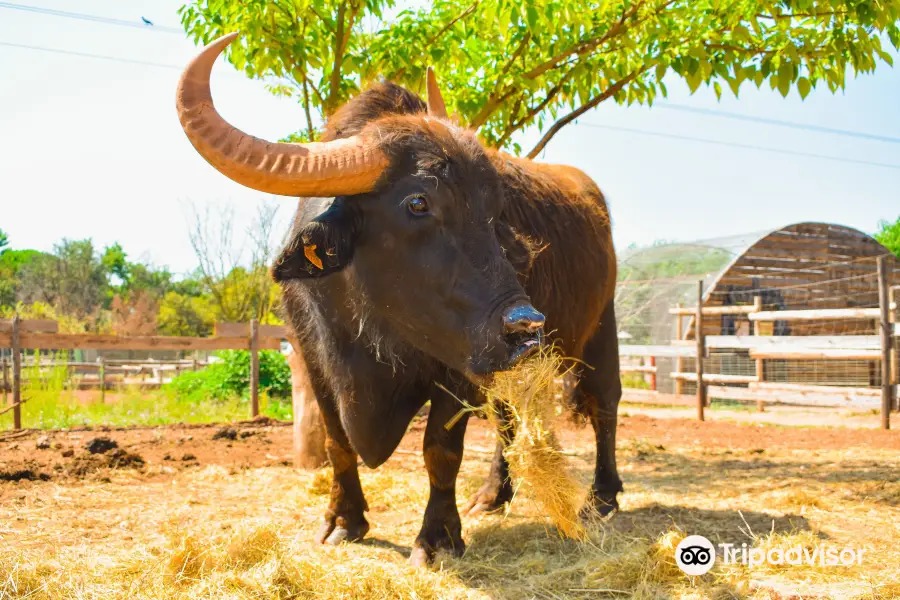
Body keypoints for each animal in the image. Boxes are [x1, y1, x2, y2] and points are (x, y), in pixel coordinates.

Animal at [178, 32, 624, 568]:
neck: (371, 330)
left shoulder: (458, 364)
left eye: (495, 209)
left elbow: (440, 449)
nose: (525, 326)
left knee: (605, 403)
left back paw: (602, 498)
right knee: (507, 421)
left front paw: (437, 538)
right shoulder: (314, 361)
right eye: (417, 202)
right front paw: (344, 521)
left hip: (600, 328)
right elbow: (337, 443)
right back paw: (493, 495)